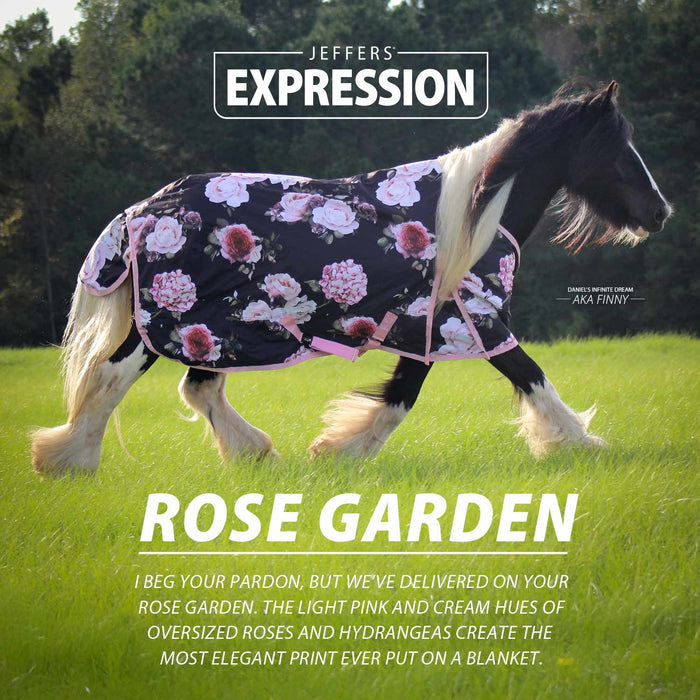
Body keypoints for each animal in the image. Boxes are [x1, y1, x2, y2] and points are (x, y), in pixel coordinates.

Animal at [30, 81, 671, 474]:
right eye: (620, 148)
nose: (659, 212)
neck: (472, 217)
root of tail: (143, 210)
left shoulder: (429, 328)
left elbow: (399, 397)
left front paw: (337, 452)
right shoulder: (469, 321)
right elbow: (529, 378)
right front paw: (584, 444)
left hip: (211, 331)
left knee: (199, 388)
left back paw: (254, 454)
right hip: (175, 322)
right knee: (112, 378)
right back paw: (69, 461)